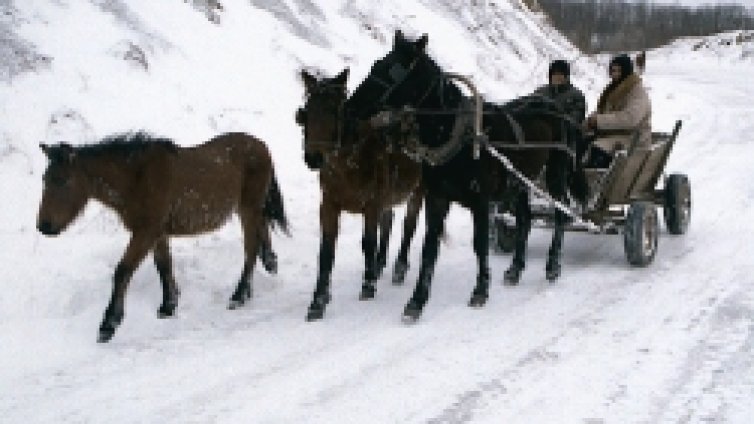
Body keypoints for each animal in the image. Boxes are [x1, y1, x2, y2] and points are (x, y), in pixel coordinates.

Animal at [36, 132, 286, 342]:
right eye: (45, 179)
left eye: (63, 180)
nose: (43, 226)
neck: (136, 179)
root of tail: (262, 145)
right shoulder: (158, 233)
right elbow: (163, 265)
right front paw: (168, 305)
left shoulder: (145, 232)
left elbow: (123, 271)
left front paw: (109, 324)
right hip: (251, 209)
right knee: (261, 234)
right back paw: (268, 265)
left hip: (248, 208)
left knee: (250, 249)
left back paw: (239, 295)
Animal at [296, 68, 424, 322]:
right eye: (307, 111)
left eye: (334, 110)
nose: (313, 158)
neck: (348, 164)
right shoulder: (329, 205)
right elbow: (326, 251)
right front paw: (318, 301)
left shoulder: (371, 205)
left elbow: (368, 242)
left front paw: (368, 286)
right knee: (389, 220)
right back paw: (379, 263)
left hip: (419, 189)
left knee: (409, 225)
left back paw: (398, 268)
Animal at [346, 30, 588, 322]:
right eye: (376, 65)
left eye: (393, 71)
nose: (350, 108)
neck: (456, 135)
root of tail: (555, 107)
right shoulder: (437, 198)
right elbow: (429, 247)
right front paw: (417, 301)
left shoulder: (480, 202)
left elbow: (479, 244)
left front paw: (481, 290)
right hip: (519, 180)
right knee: (525, 219)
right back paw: (515, 269)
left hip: (555, 172)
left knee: (561, 211)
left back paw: (553, 265)